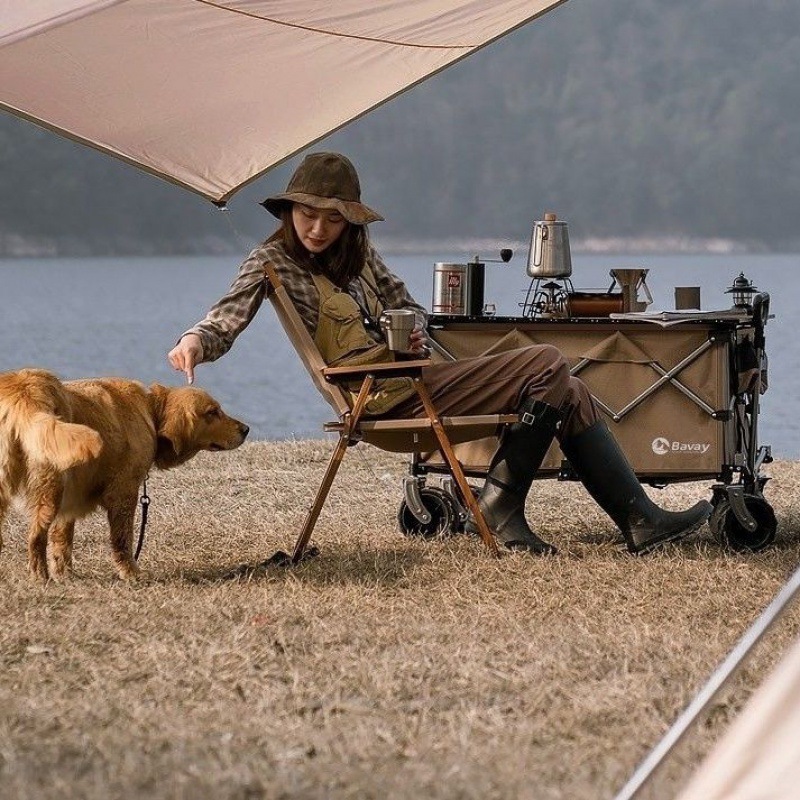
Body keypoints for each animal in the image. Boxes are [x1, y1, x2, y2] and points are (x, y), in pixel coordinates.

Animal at [0, 368, 247, 580]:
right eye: (212, 412)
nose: (246, 429)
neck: (150, 411)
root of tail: (23, 390)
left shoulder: (71, 497)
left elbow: (62, 538)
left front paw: (65, 574)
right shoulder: (124, 492)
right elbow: (122, 540)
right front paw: (130, 572)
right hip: (50, 489)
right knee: (35, 537)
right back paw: (41, 578)